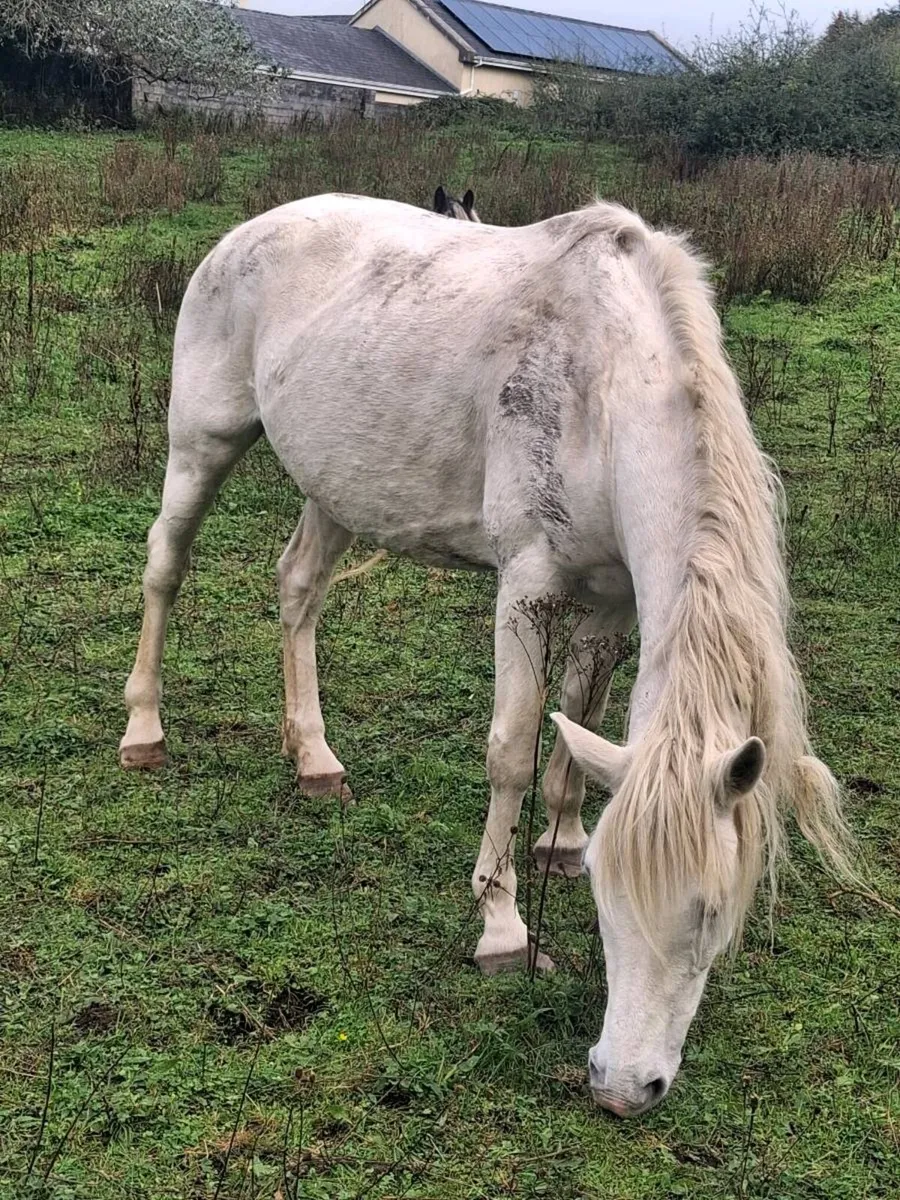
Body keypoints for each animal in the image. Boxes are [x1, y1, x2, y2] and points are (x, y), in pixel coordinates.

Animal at [119, 193, 853, 1116]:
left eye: (716, 915)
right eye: (611, 904)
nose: (624, 1087)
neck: (604, 392)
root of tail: (251, 231)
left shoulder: (611, 597)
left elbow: (579, 725)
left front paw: (562, 839)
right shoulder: (528, 583)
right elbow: (511, 750)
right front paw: (502, 924)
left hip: (334, 485)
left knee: (298, 589)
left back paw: (314, 757)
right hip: (201, 443)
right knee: (165, 566)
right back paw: (143, 731)